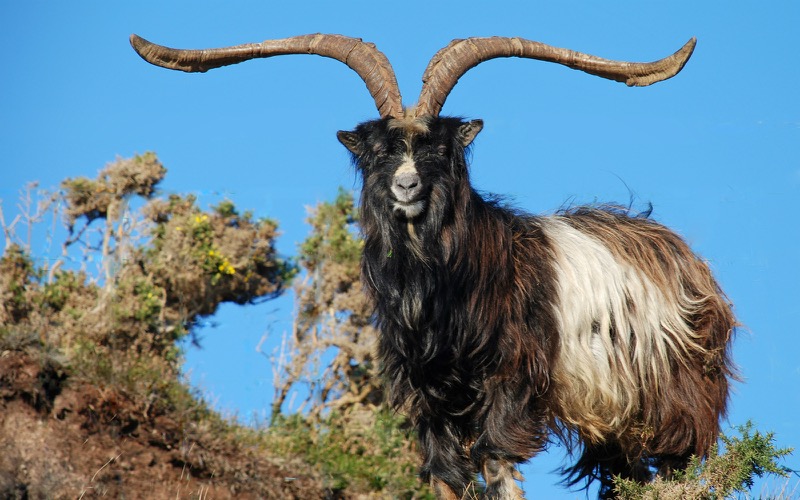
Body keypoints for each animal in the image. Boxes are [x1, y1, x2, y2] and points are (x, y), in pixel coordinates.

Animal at [131, 34, 736, 499]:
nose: (406, 187)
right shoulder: (430, 402)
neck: (448, 283)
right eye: (377, 152)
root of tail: (690, 265)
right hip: (615, 425)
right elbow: (447, 478)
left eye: (438, 152)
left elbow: (498, 468)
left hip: (678, 407)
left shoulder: (509, 387)